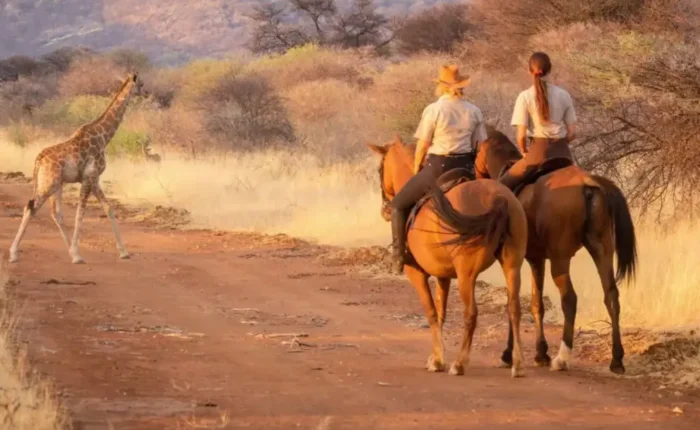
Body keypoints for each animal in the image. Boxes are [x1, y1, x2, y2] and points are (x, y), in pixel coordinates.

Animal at [367, 136, 529, 377]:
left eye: (380, 169)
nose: (385, 210)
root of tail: (499, 198)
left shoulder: (417, 275)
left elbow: (432, 313)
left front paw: (438, 360)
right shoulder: (443, 277)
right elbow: (441, 313)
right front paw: (434, 356)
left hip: (466, 275)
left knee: (471, 314)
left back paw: (459, 364)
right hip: (512, 265)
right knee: (514, 309)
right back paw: (517, 364)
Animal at [474, 129, 637, 374]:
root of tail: (588, 186)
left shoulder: (516, 261)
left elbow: (514, 302)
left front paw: (509, 354)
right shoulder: (536, 260)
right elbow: (536, 304)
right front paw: (540, 353)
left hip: (561, 260)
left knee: (569, 299)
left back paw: (562, 358)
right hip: (602, 250)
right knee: (611, 296)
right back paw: (616, 360)